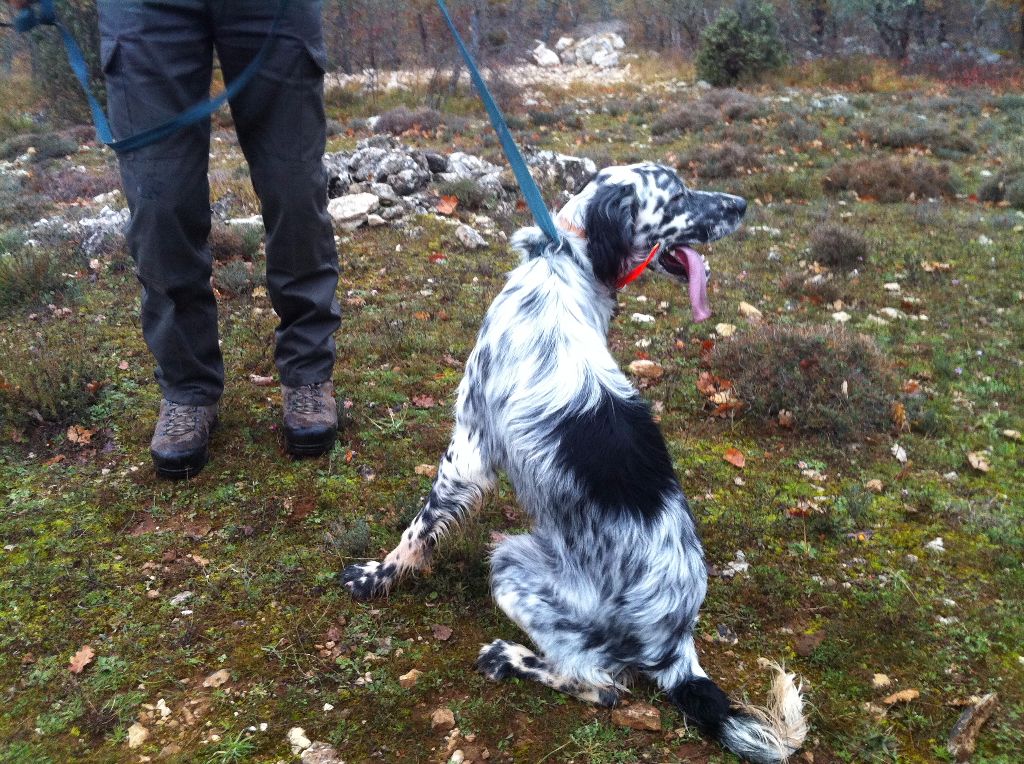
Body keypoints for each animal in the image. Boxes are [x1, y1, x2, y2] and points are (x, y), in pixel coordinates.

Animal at [344, 161, 806, 761]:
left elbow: (417, 531)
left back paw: (511, 658)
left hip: (514, 565)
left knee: (597, 682)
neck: (561, 260)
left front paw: (377, 577)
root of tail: (678, 649)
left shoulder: (469, 448)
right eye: (677, 196)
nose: (742, 206)